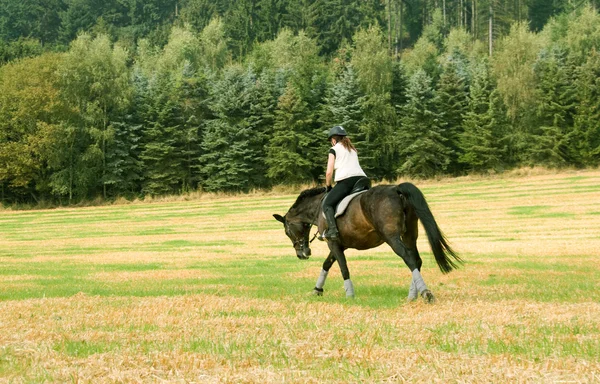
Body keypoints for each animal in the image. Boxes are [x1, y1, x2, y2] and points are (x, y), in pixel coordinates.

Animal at [274, 182, 462, 302]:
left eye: (287, 232)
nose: (302, 254)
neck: (319, 207)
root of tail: (396, 189)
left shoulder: (333, 244)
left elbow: (343, 267)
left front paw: (349, 294)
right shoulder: (340, 245)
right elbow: (327, 264)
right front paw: (317, 290)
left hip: (392, 237)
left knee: (408, 258)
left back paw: (425, 293)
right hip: (409, 235)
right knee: (416, 259)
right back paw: (413, 294)